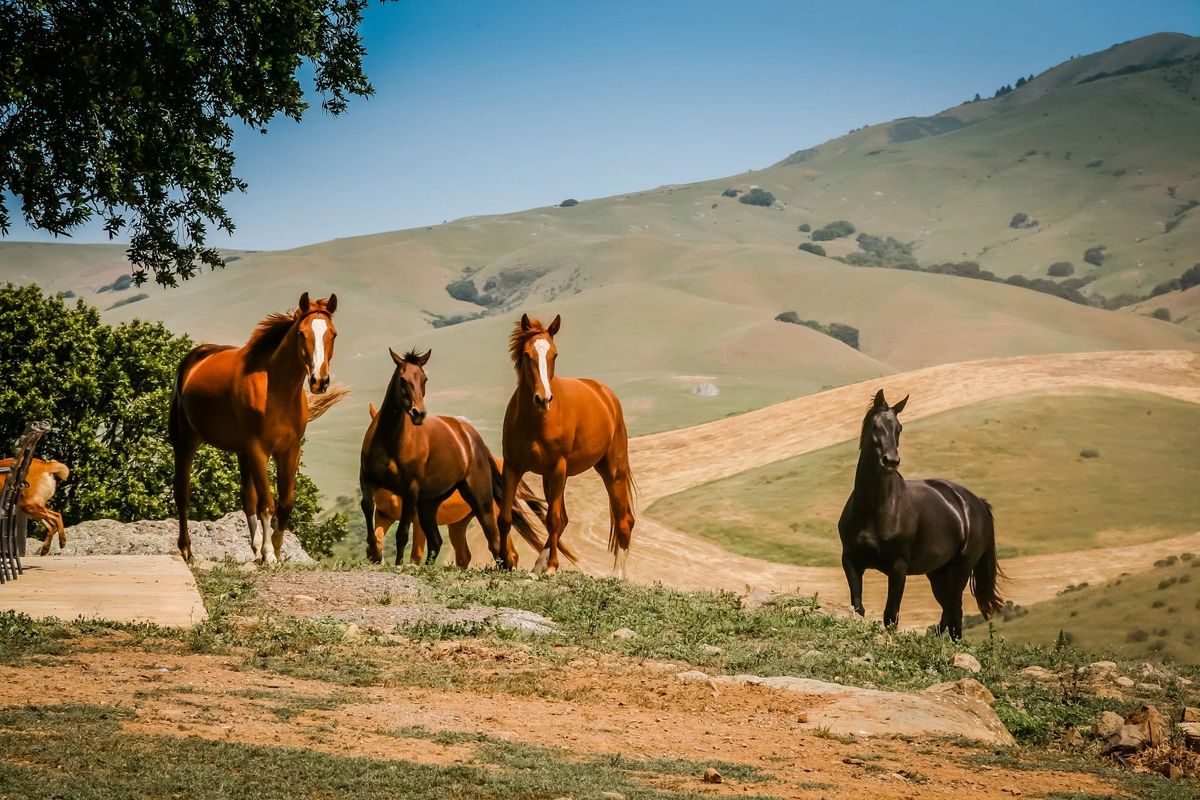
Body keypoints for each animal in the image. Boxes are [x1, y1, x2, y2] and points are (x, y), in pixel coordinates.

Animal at [169, 292, 347, 563]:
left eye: (333, 334)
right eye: (301, 333)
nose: (319, 381)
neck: (276, 391)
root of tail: (194, 359)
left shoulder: (289, 450)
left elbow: (285, 502)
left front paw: (275, 548)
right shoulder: (259, 450)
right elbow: (268, 504)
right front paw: (269, 554)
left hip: (242, 452)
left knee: (247, 498)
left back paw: (253, 548)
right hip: (186, 441)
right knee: (183, 494)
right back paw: (187, 549)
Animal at [360, 348, 542, 568]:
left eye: (424, 378)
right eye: (402, 379)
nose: (418, 413)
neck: (390, 443)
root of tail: (473, 438)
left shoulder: (411, 496)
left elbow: (404, 537)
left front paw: (399, 564)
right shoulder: (375, 495)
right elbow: (368, 510)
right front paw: (374, 552)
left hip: (481, 502)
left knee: (498, 543)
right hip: (439, 510)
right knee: (446, 546)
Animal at [365, 403, 570, 567]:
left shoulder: (416, 518)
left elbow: (416, 553)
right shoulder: (383, 514)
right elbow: (377, 538)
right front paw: (375, 555)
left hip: (489, 513)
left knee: (508, 552)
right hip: (458, 523)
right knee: (464, 556)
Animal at [498, 314, 635, 576]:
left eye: (554, 355)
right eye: (527, 354)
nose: (543, 399)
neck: (535, 420)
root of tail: (605, 395)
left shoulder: (557, 469)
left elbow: (553, 519)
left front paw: (552, 566)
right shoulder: (512, 467)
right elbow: (505, 517)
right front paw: (504, 562)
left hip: (612, 471)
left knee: (624, 519)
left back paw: (617, 575)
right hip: (549, 478)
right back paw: (538, 564)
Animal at [838, 390, 1005, 639]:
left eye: (899, 428)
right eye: (875, 425)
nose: (891, 461)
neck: (874, 508)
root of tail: (977, 504)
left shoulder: (898, 568)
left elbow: (891, 616)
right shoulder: (851, 560)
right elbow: (857, 607)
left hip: (962, 568)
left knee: (954, 610)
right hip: (937, 573)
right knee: (950, 611)